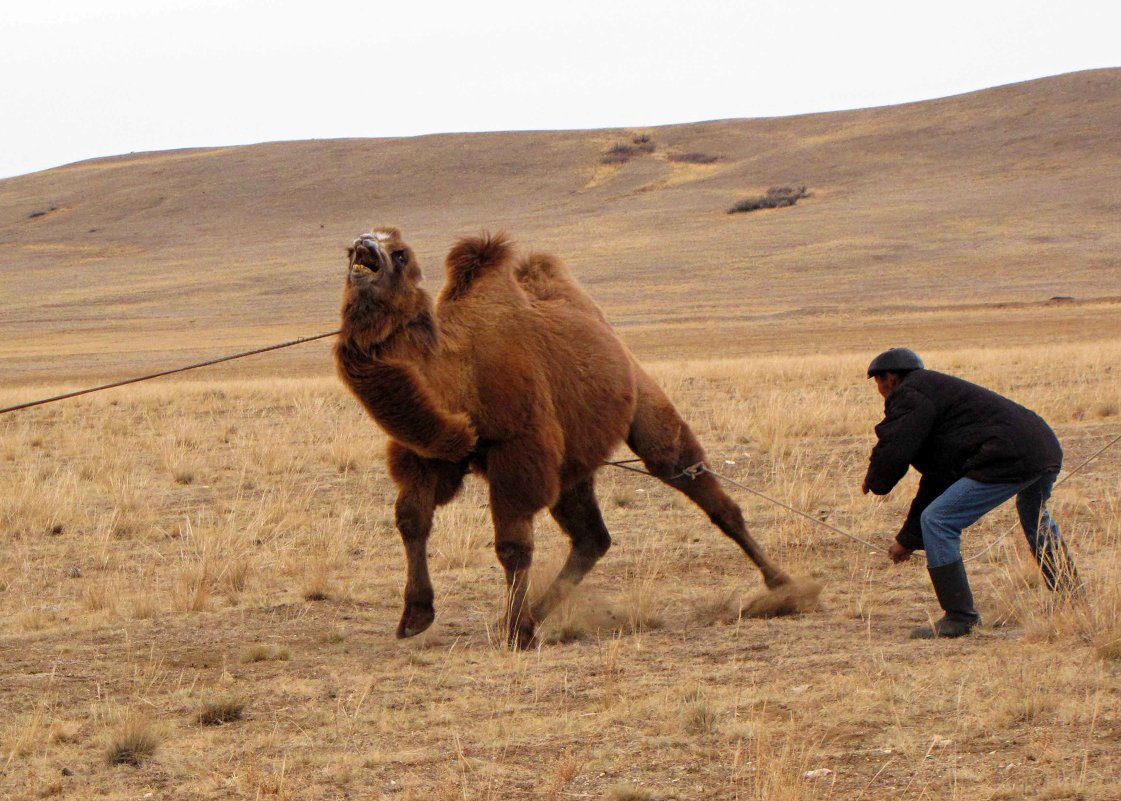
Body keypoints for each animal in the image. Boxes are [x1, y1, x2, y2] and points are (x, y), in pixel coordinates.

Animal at [331, 227, 816, 649]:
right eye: (360, 245)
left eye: (399, 253)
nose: (363, 243)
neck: (460, 368)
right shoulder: (425, 455)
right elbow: (412, 519)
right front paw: (417, 616)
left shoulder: (521, 448)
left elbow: (512, 544)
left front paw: (516, 634)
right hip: (572, 465)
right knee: (592, 538)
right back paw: (532, 613)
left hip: (643, 406)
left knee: (699, 484)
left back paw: (783, 585)